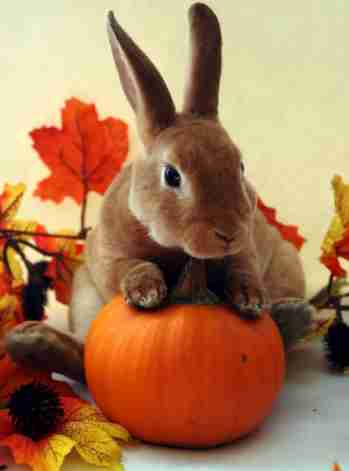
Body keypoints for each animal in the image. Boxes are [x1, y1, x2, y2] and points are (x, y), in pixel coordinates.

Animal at [4, 2, 312, 384]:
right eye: (171, 175)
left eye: (240, 166)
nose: (227, 233)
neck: (177, 249)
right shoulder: (111, 258)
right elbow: (132, 267)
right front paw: (147, 293)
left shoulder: (247, 250)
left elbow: (243, 267)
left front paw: (251, 300)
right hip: (84, 301)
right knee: (84, 359)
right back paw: (31, 340)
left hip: (287, 263)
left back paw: (294, 316)